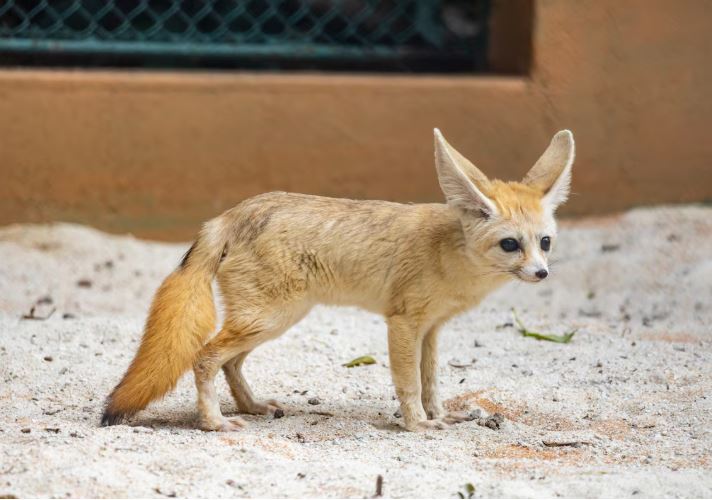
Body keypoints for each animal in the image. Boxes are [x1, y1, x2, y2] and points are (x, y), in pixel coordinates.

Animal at [101, 128, 575, 432]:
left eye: (545, 242)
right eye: (511, 244)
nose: (542, 272)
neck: (452, 251)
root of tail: (230, 214)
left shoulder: (432, 328)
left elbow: (431, 381)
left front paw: (438, 415)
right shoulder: (403, 323)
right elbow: (408, 383)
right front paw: (418, 425)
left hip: (272, 320)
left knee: (230, 362)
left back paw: (252, 407)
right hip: (269, 318)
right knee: (204, 357)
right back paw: (214, 422)